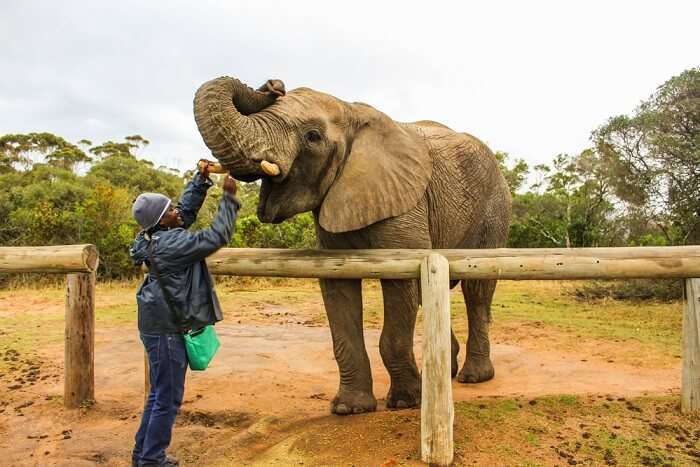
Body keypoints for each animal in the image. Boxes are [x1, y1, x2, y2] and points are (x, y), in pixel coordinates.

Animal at [194, 77, 512, 416]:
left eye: (312, 136)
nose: (273, 85)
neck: (352, 112)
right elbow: (338, 287)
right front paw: (350, 408)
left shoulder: (404, 203)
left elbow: (401, 285)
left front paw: (405, 401)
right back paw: (443, 373)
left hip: (494, 208)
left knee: (477, 292)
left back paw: (474, 377)